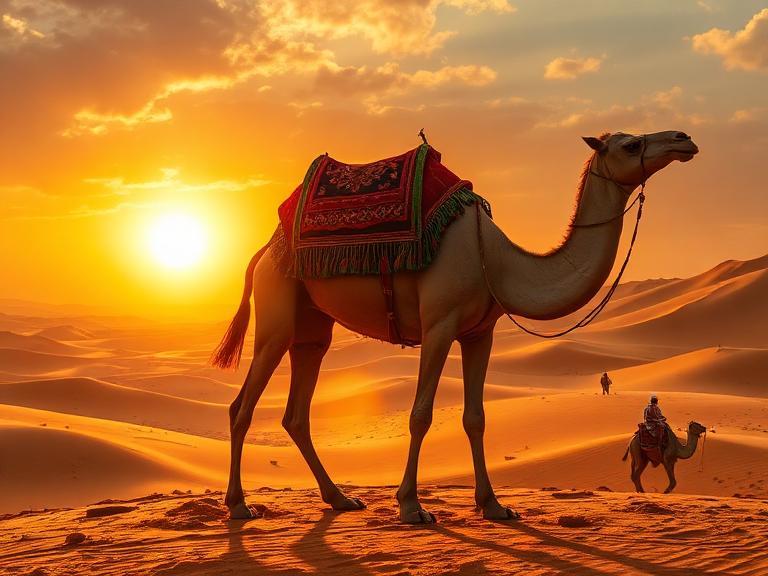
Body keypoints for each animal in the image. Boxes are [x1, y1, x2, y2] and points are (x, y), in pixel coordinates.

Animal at [213, 130, 699, 523]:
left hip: (313, 327)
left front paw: (494, 505)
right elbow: (421, 415)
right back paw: (239, 506)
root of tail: (264, 250)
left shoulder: (479, 333)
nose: (684, 139)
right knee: (242, 407)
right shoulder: (439, 324)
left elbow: (476, 417)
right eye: (630, 144)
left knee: (297, 410)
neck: (498, 261)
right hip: (276, 313)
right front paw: (411, 507)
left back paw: (340, 499)